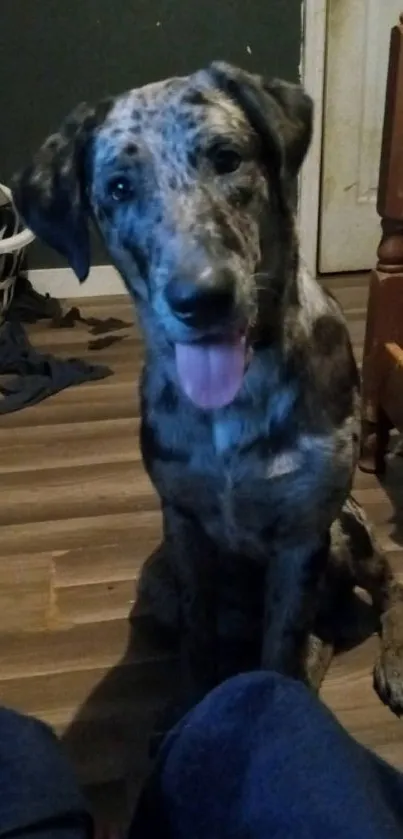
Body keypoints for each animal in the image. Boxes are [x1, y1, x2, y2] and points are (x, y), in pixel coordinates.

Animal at [11, 64, 403, 736]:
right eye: (118, 187)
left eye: (227, 158)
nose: (201, 298)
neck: (235, 397)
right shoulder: (185, 529)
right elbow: (199, 638)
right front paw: (189, 708)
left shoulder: (303, 535)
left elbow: (280, 645)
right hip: (155, 584)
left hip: (349, 531)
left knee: (387, 588)